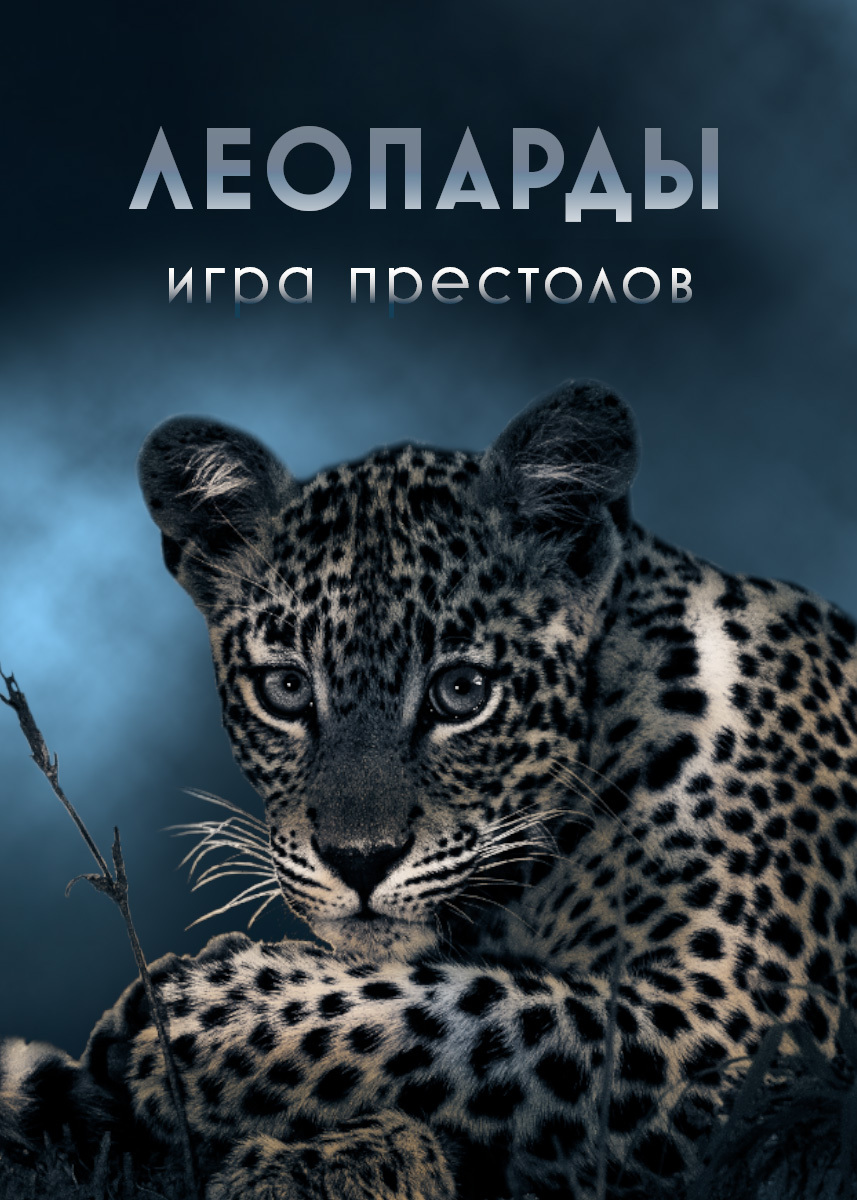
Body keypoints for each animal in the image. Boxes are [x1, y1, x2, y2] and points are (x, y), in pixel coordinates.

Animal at [2, 379, 857, 1200]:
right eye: (285, 689)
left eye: (462, 691)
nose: (359, 859)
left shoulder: (750, 1026)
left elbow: (488, 1015)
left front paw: (200, 1019)